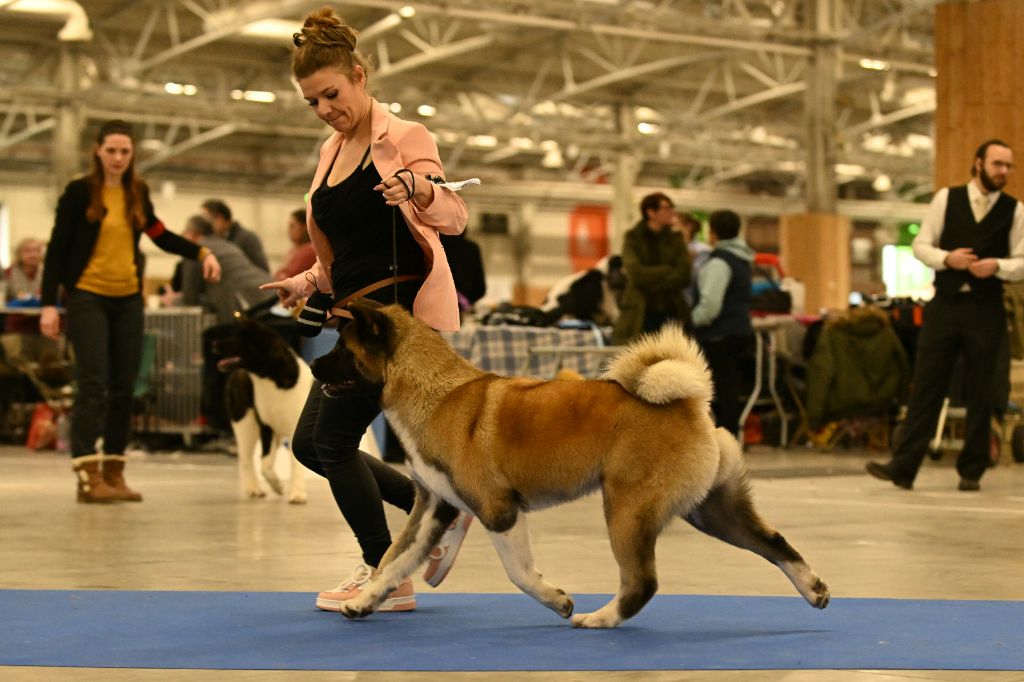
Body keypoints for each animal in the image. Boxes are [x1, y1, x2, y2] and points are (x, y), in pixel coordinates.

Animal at [212, 315, 309, 501]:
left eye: (238, 338)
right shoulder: (266, 427)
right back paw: (253, 488)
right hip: (245, 423)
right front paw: (279, 486)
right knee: (246, 458)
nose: (214, 343)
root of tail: (237, 373)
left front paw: (295, 493)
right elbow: (264, 464)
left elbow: (289, 464)